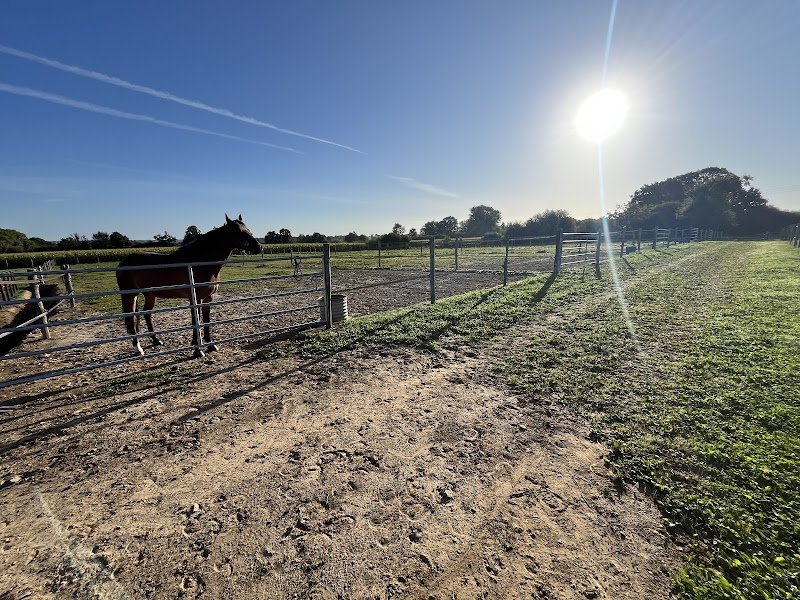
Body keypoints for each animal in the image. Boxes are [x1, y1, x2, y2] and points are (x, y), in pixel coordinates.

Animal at [116, 214, 262, 358]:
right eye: (240, 232)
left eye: (248, 230)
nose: (259, 247)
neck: (200, 263)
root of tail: (123, 262)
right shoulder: (194, 298)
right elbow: (195, 321)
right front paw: (197, 350)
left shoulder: (208, 298)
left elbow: (206, 321)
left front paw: (210, 345)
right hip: (130, 295)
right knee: (131, 319)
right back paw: (138, 348)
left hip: (150, 295)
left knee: (146, 314)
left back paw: (156, 340)